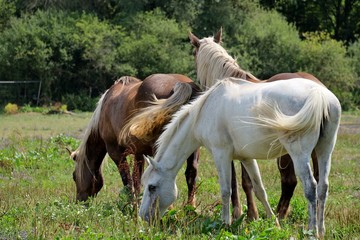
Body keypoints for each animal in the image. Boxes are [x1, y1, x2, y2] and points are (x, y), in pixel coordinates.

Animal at [71, 73, 201, 202]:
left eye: (74, 176)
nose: (79, 201)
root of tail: (181, 84)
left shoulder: (116, 152)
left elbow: (127, 180)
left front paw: (131, 204)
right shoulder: (139, 153)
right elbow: (137, 179)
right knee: (191, 174)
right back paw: (190, 206)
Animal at [139, 77, 342, 238]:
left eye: (152, 187)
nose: (143, 217)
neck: (205, 111)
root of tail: (319, 94)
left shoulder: (221, 154)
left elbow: (226, 190)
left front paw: (225, 223)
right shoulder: (246, 158)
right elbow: (260, 190)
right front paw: (274, 223)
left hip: (299, 154)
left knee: (311, 188)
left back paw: (312, 232)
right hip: (325, 151)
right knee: (323, 188)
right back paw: (321, 230)